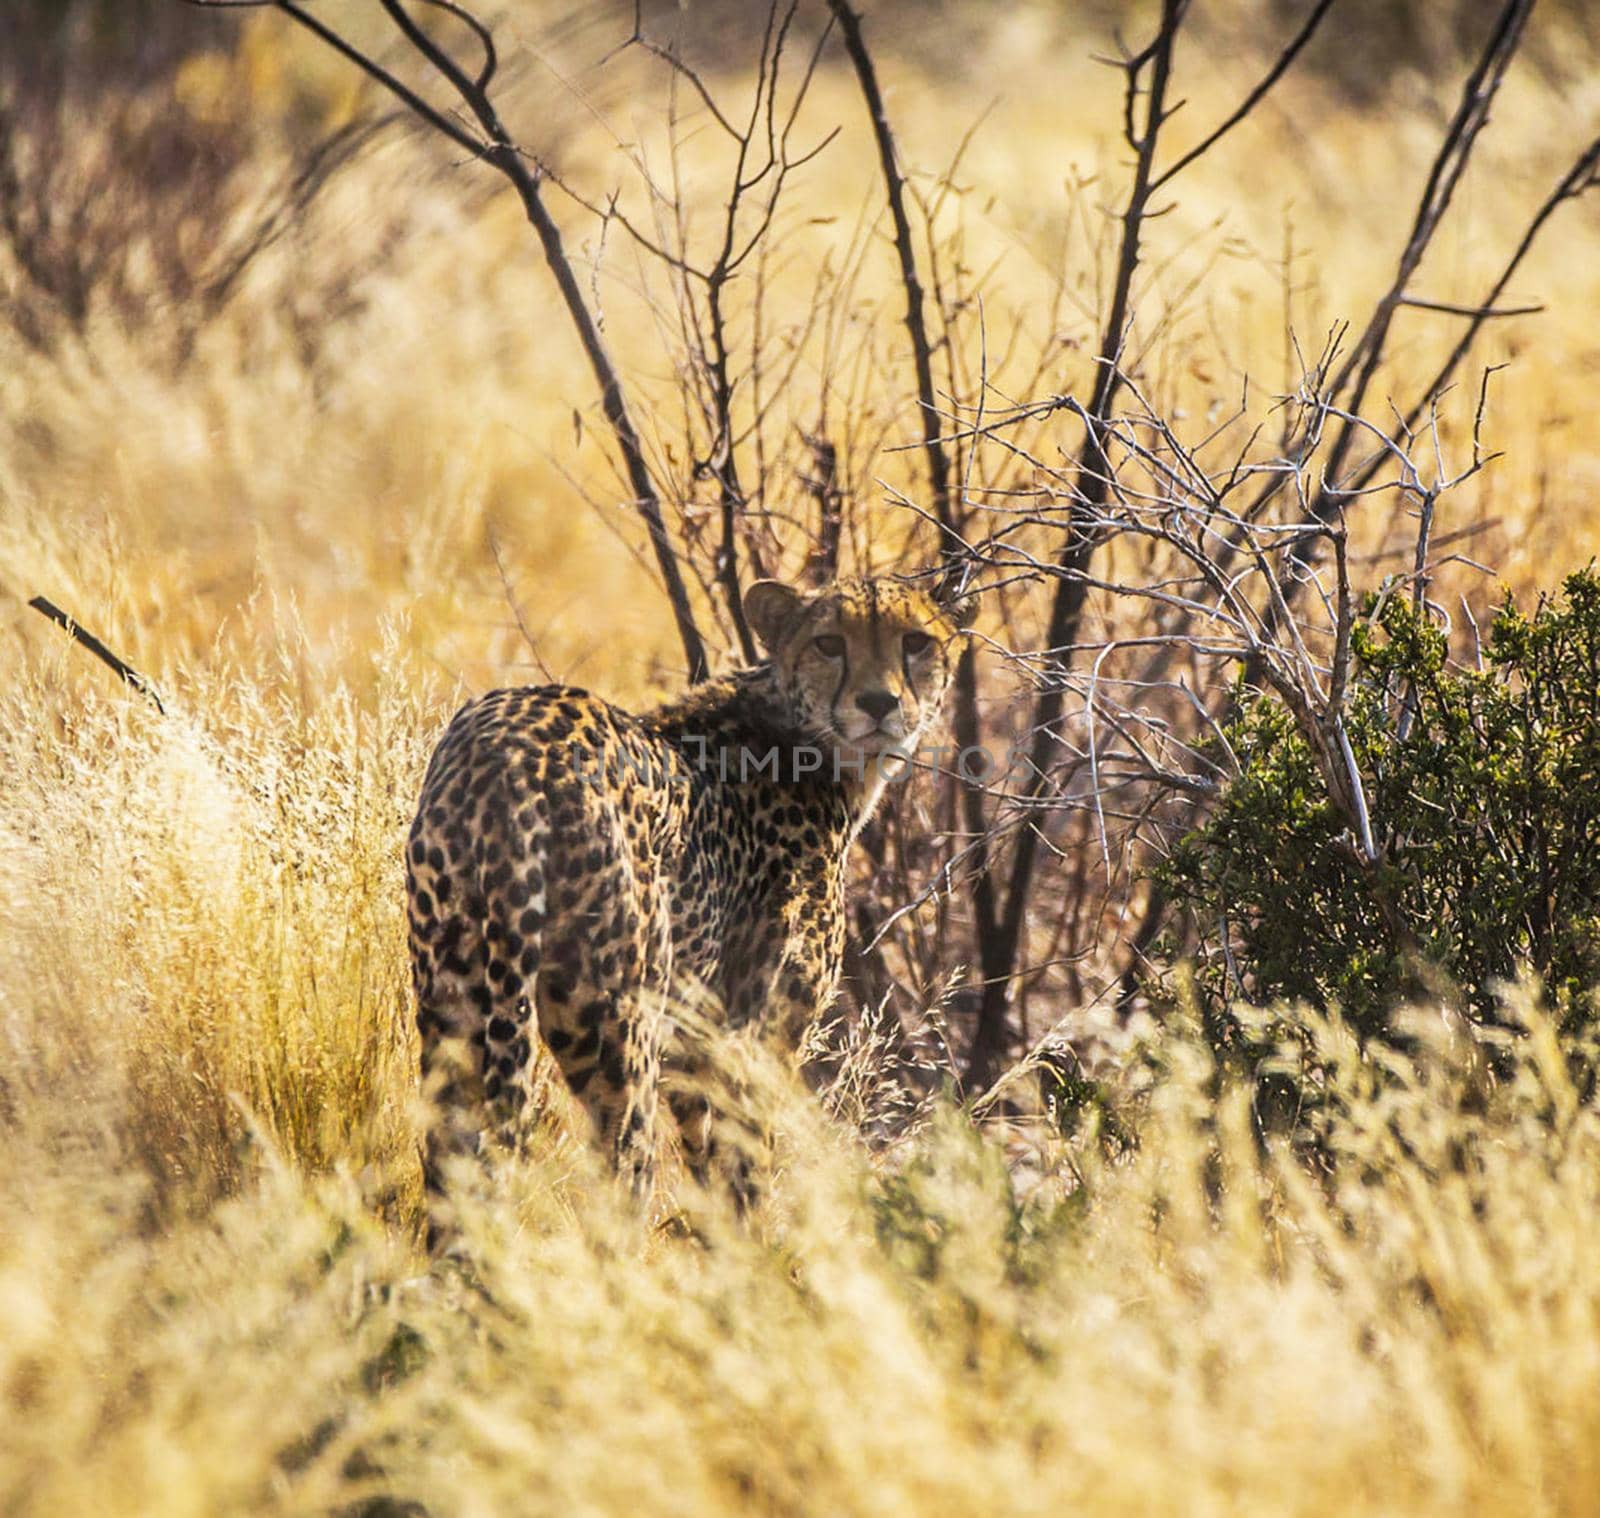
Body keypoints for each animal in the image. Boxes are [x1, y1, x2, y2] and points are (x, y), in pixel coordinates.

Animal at [406, 575, 966, 1228]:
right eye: (829, 643)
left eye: (916, 640)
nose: (879, 703)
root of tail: (509, 746)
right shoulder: (748, 1044)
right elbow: (746, 1172)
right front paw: (759, 1250)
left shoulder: (696, 1051)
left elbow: (716, 1177)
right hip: (617, 1025)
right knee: (622, 1176)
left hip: (455, 1001)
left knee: (453, 1176)